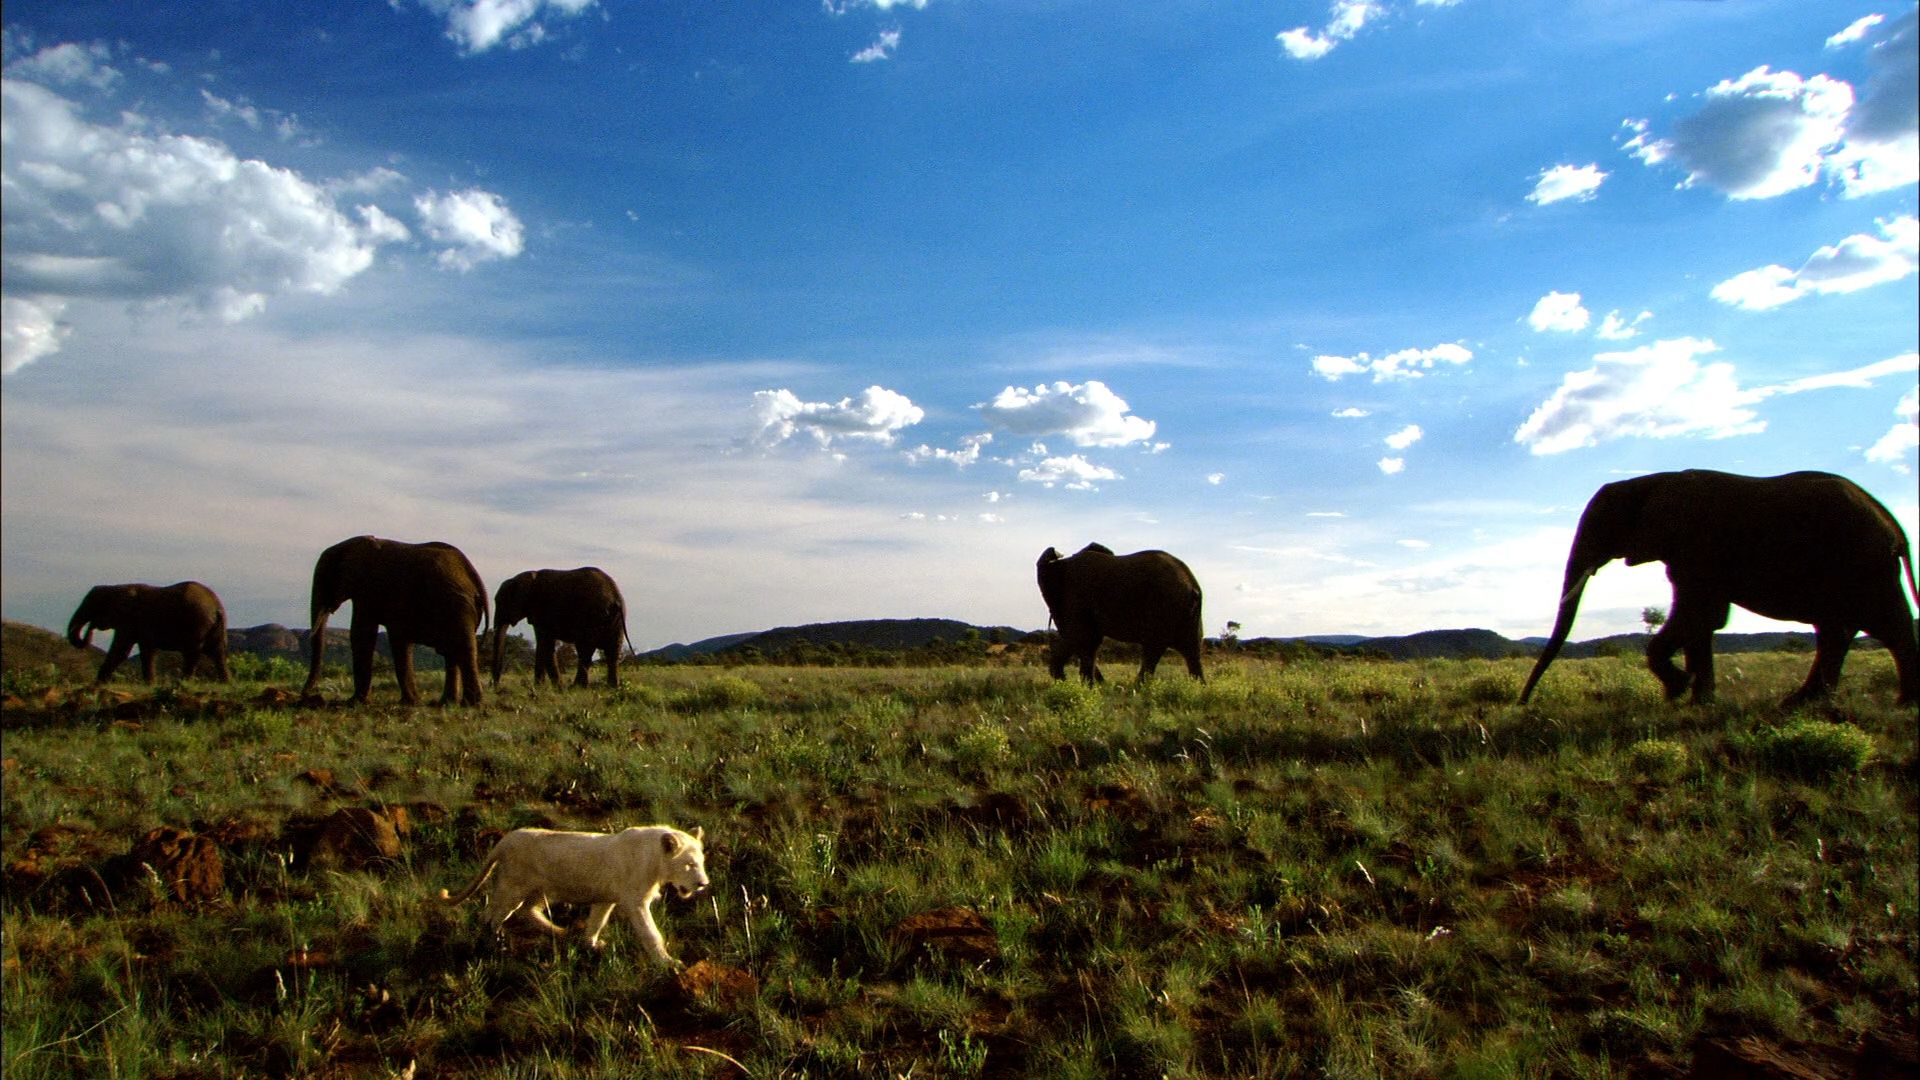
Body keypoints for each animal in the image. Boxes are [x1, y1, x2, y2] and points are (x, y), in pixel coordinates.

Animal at [438, 824, 709, 967]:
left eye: (702, 863)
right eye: (689, 865)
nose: (703, 884)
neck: (657, 862)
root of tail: (505, 839)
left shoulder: (606, 899)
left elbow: (596, 922)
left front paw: (591, 945)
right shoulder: (635, 902)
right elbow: (651, 933)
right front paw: (668, 963)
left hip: (543, 890)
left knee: (525, 911)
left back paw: (560, 931)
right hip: (513, 888)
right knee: (492, 915)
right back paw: (495, 942)